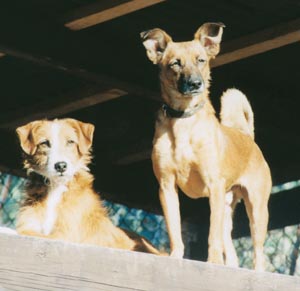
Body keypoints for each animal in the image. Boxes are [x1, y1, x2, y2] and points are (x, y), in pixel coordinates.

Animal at [15, 118, 162, 256]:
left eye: (70, 142)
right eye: (45, 143)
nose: (61, 166)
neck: (56, 188)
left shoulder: (64, 236)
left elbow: (19, 232)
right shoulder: (31, 225)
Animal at [141, 22, 272, 272]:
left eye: (201, 60)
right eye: (175, 63)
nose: (195, 83)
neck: (184, 120)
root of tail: (247, 137)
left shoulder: (213, 186)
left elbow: (212, 235)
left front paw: (212, 262)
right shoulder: (166, 186)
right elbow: (174, 230)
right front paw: (175, 257)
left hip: (256, 208)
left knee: (258, 251)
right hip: (227, 207)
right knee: (230, 248)